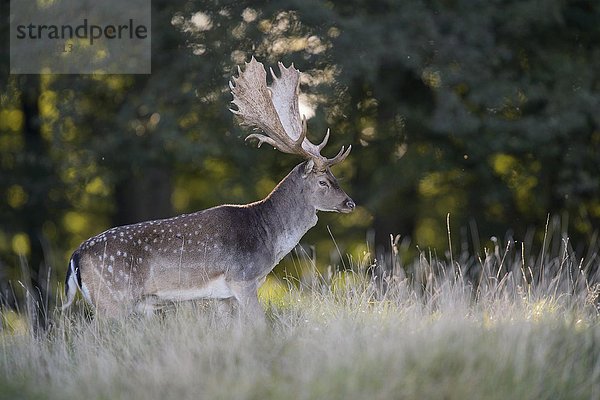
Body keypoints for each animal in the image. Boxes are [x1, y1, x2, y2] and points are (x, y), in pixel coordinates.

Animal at [62, 58, 354, 322]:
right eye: (323, 181)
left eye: (334, 175)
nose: (350, 203)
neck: (268, 242)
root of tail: (75, 256)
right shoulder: (241, 279)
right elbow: (260, 326)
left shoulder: (223, 297)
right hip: (112, 300)